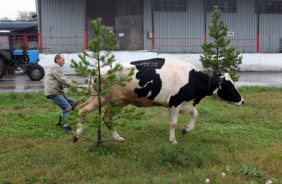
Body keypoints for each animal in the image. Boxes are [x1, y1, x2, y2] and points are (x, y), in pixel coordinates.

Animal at [73, 58, 245, 144]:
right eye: (230, 86)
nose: (243, 101)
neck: (193, 78)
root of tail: (98, 69)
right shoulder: (174, 102)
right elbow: (173, 123)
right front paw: (173, 140)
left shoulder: (187, 102)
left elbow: (195, 114)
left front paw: (187, 129)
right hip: (100, 97)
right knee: (82, 109)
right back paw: (77, 135)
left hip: (117, 102)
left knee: (107, 118)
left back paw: (117, 138)